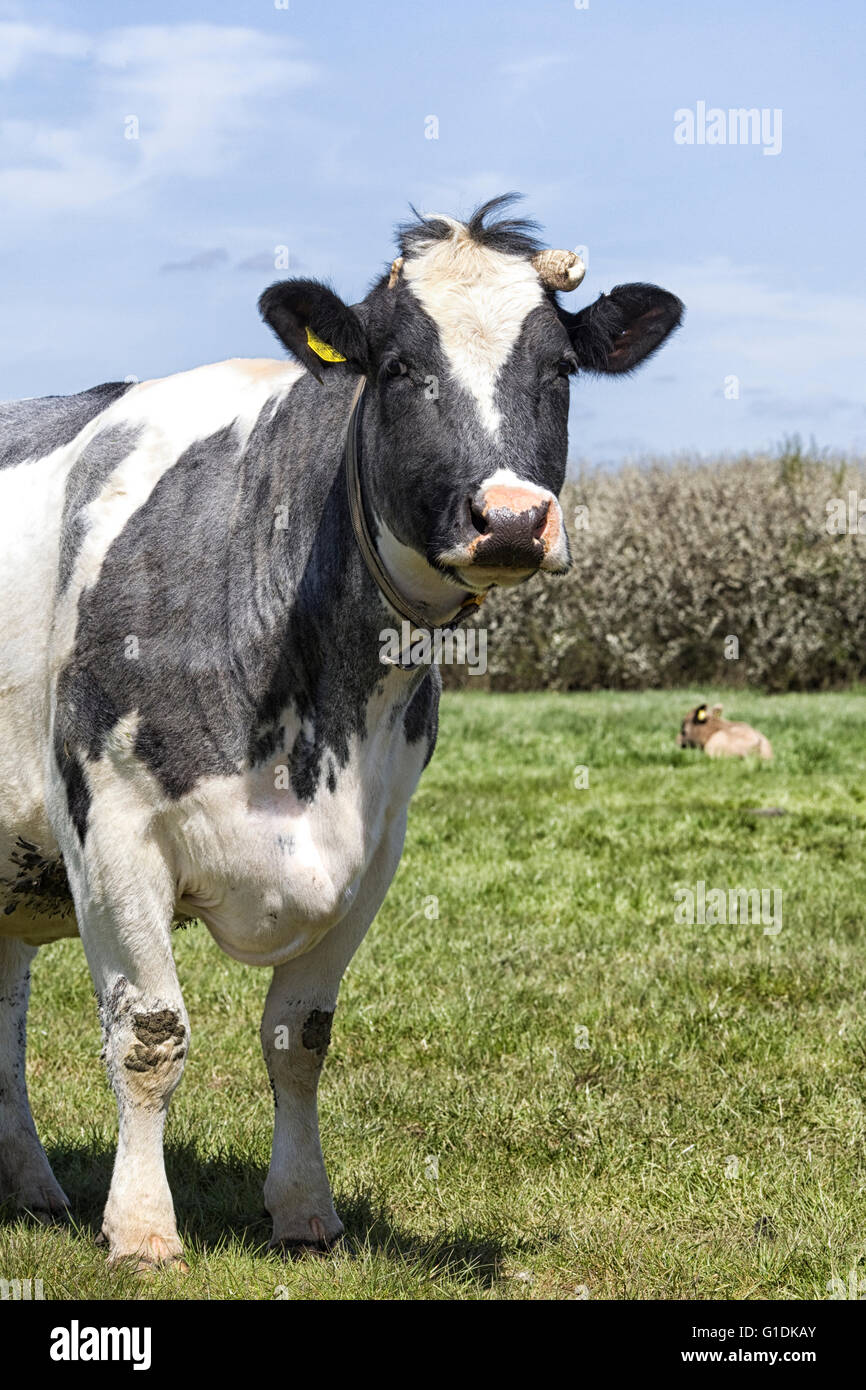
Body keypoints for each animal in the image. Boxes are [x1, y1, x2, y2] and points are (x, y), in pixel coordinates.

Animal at [0, 196, 682, 1269]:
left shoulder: (375, 848)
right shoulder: (109, 828)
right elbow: (149, 1036)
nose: (512, 519)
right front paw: (144, 1228)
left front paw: (304, 1210)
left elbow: (300, 1039)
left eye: (561, 370)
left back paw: (30, 1185)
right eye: (397, 367)